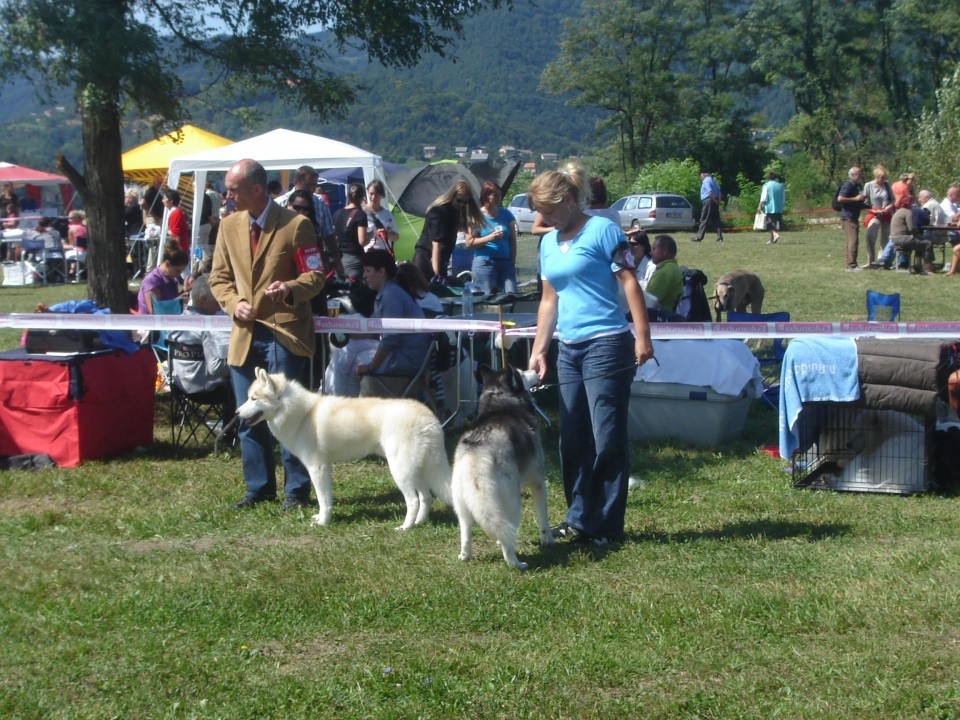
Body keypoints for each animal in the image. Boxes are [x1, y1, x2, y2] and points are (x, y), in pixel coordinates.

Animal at [238, 366, 452, 528]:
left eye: (254, 399)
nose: (236, 412)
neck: (303, 414)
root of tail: (429, 417)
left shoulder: (317, 468)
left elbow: (323, 499)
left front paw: (322, 523)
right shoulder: (325, 468)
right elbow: (327, 498)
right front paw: (322, 518)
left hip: (401, 471)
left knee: (414, 500)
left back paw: (405, 527)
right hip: (417, 470)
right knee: (426, 497)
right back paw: (419, 523)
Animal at [452, 366, 556, 568]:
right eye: (521, 373)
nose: (535, 370)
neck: (498, 401)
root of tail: (476, 455)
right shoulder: (538, 483)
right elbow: (543, 518)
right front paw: (548, 540)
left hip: (462, 506)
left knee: (467, 534)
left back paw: (464, 556)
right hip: (513, 503)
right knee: (508, 534)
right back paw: (517, 563)